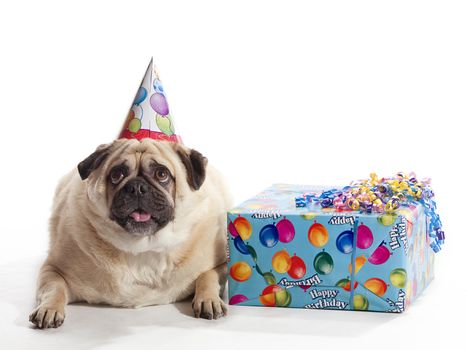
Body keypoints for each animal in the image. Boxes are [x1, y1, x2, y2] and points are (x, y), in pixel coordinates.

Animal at [28, 139, 233, 328]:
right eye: (116, 175)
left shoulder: (221, 264)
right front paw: (48, 309)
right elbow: (54, 288)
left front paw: (209, 300)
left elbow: (207, 276)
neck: (143, 248)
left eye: (162, 174)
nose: (137, 187)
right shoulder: (53, 269)